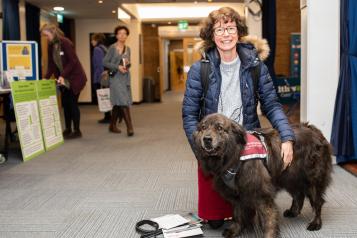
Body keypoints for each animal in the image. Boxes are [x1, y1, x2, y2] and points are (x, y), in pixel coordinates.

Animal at [192, 113, 330, 238]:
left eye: (220, 128)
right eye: (203, 127)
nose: (207, 139)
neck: (235, 154)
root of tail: (315, 130)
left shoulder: (261, 193)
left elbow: (268, 219)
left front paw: (269, 235)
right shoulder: (237, 193)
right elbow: (237, 214)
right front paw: (235, 230)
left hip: (311, 180)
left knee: (317, 202)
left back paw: (315, 223)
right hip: (290, 176)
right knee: (298, 195)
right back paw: (293, 211)